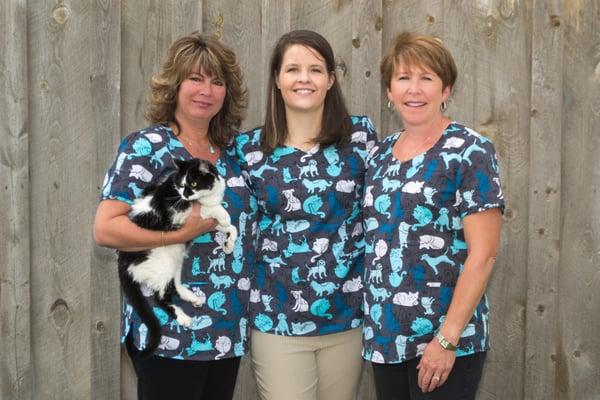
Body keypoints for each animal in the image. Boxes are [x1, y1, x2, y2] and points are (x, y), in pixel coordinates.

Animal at [118, 157, 237, 356]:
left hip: (176, 257)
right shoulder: (184, 215)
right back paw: (183, 317)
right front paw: (224, 215)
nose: (186, 195)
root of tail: (122, 261)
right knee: (160, 297)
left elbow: (230, 228)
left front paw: (229, 244)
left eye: (194, 184)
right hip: (161, 262)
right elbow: (211, 209)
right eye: (182, 185)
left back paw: (191, 296)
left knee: (174, 284)